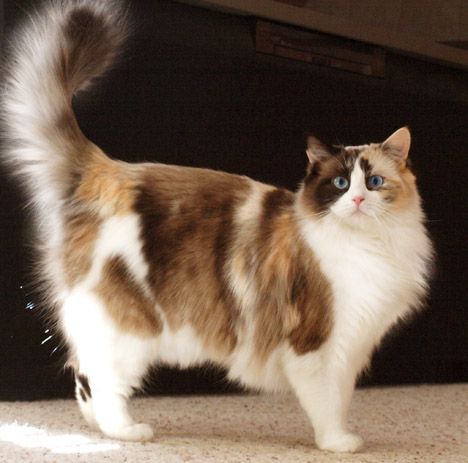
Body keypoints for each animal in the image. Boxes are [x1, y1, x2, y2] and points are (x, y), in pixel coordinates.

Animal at [0, 0, 434, 454]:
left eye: (374, 182)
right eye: (339, 184)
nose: (358, 200)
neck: (370, 246)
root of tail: (107, 168)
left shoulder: (351, 348)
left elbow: (342, 398)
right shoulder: (318, 345)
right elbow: (328, 406)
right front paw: (338, 443)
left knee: (82, 375)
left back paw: (97, 426)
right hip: (129, 329)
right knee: (103, 382)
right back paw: (125, 431)